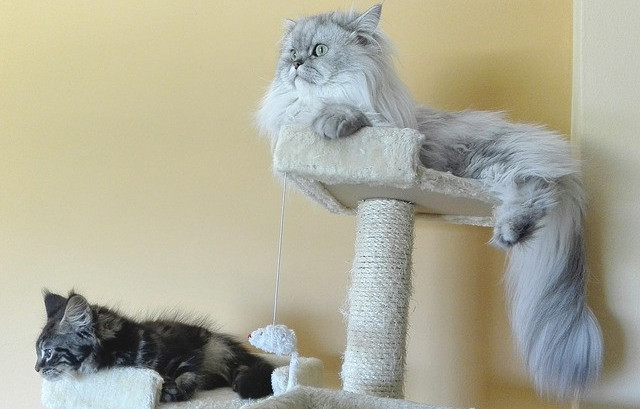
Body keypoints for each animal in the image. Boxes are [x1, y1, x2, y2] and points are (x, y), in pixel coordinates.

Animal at [35, 290, 274, 402]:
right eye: (37, 352)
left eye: (48, 352)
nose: (36, 368)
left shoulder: (186, 352)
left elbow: (188, 374)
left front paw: (175, 391)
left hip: (215, 349)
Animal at [255, 3, 600, 398]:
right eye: (292, 53)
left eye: (319, 50)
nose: (296, 64)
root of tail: (563, 158)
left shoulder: (384, 127)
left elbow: (350, 115)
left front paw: (331, 121)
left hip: (492, 165)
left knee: (537, 190)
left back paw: (511, 231)